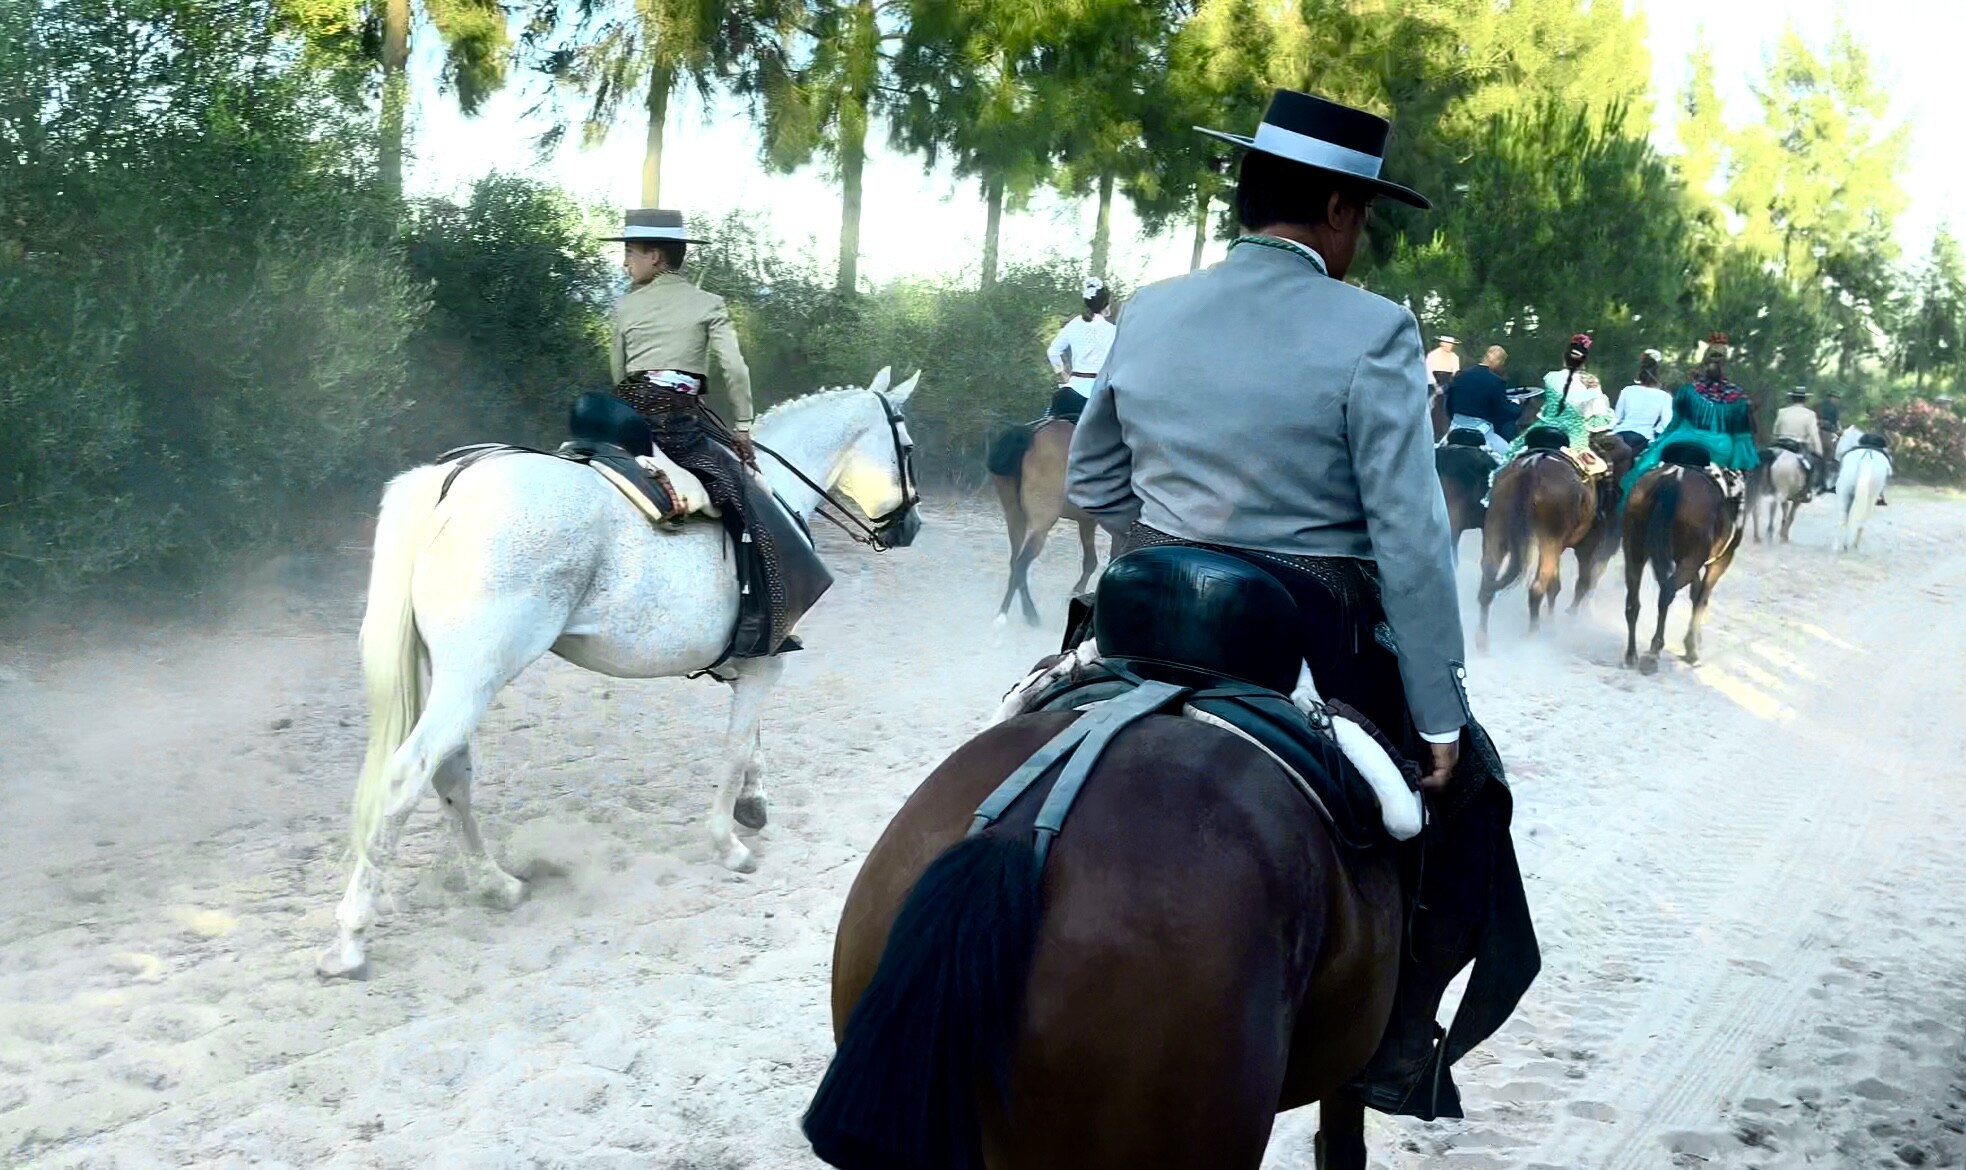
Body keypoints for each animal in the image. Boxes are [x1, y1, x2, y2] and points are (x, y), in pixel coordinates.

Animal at [318, 371, 924, 975]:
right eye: (909, 448)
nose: (912, 526)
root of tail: (454, 481)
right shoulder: (765, 664)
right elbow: (734, 749)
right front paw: (728, 843)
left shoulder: (745, 666)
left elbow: (751, 741)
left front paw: (754, 803)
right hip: (473, 681)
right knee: (407, 777)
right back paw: (351, 938)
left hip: (455, 682)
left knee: (450, 776)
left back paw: (496, 885)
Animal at [990, 418, 1100, 625]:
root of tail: (1030, 434)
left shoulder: (1088, 522)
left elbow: (1091, 562)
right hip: (1041, 524)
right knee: (1021, 564)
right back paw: (1009, 616)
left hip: (1015, 517)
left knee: (1015, 563)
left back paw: (1025, 614)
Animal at [1619, 452, 1745, 672]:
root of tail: (1672, 478)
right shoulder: (1720, 561)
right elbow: (1702, 597)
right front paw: (1692, 647)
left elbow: (1695, 593)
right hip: (1691, 560)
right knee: (1667, 593)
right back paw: (1653, 652)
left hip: (1634, 551)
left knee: (1633, 602)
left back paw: (1631, 654)